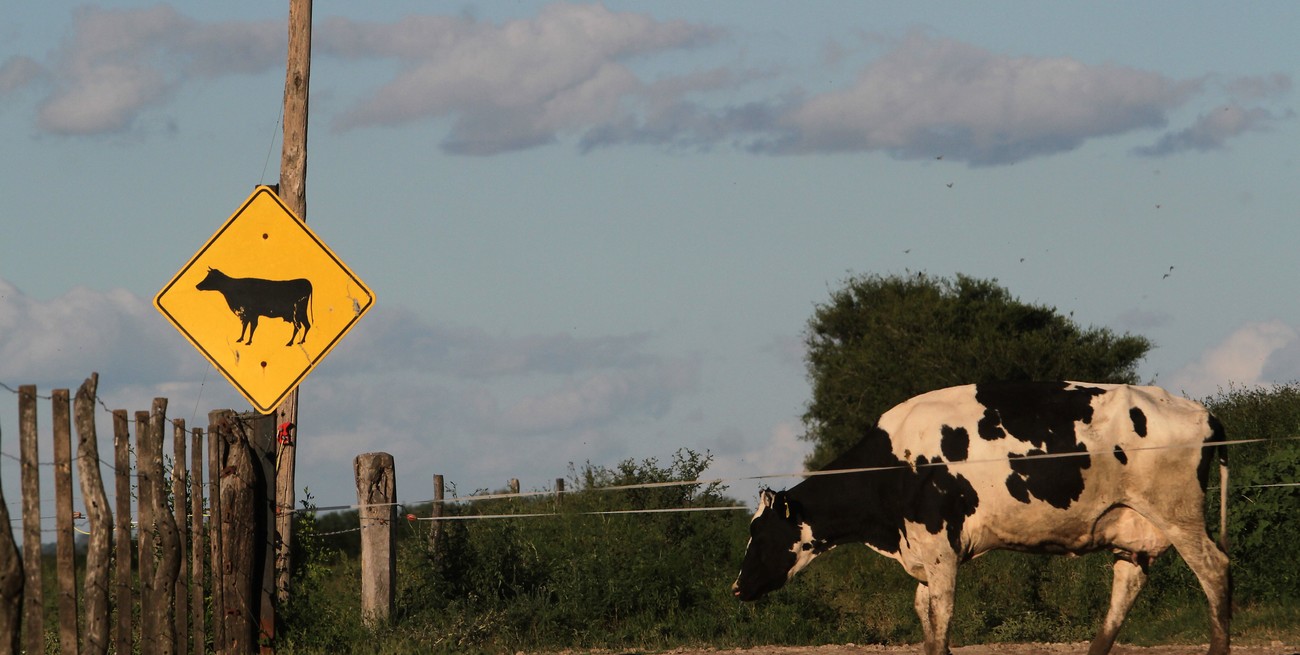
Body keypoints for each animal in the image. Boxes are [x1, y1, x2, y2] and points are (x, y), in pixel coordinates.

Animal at [733, 382, 1227, 655]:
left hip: (1179, 515)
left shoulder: (941, 552)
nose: (737, 587)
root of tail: (1201, 411)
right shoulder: (924, 554)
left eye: (762, 531)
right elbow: (927, 621)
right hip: (1132, 532)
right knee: (1125, 590)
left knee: (1215, 571)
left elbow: (942, 622)